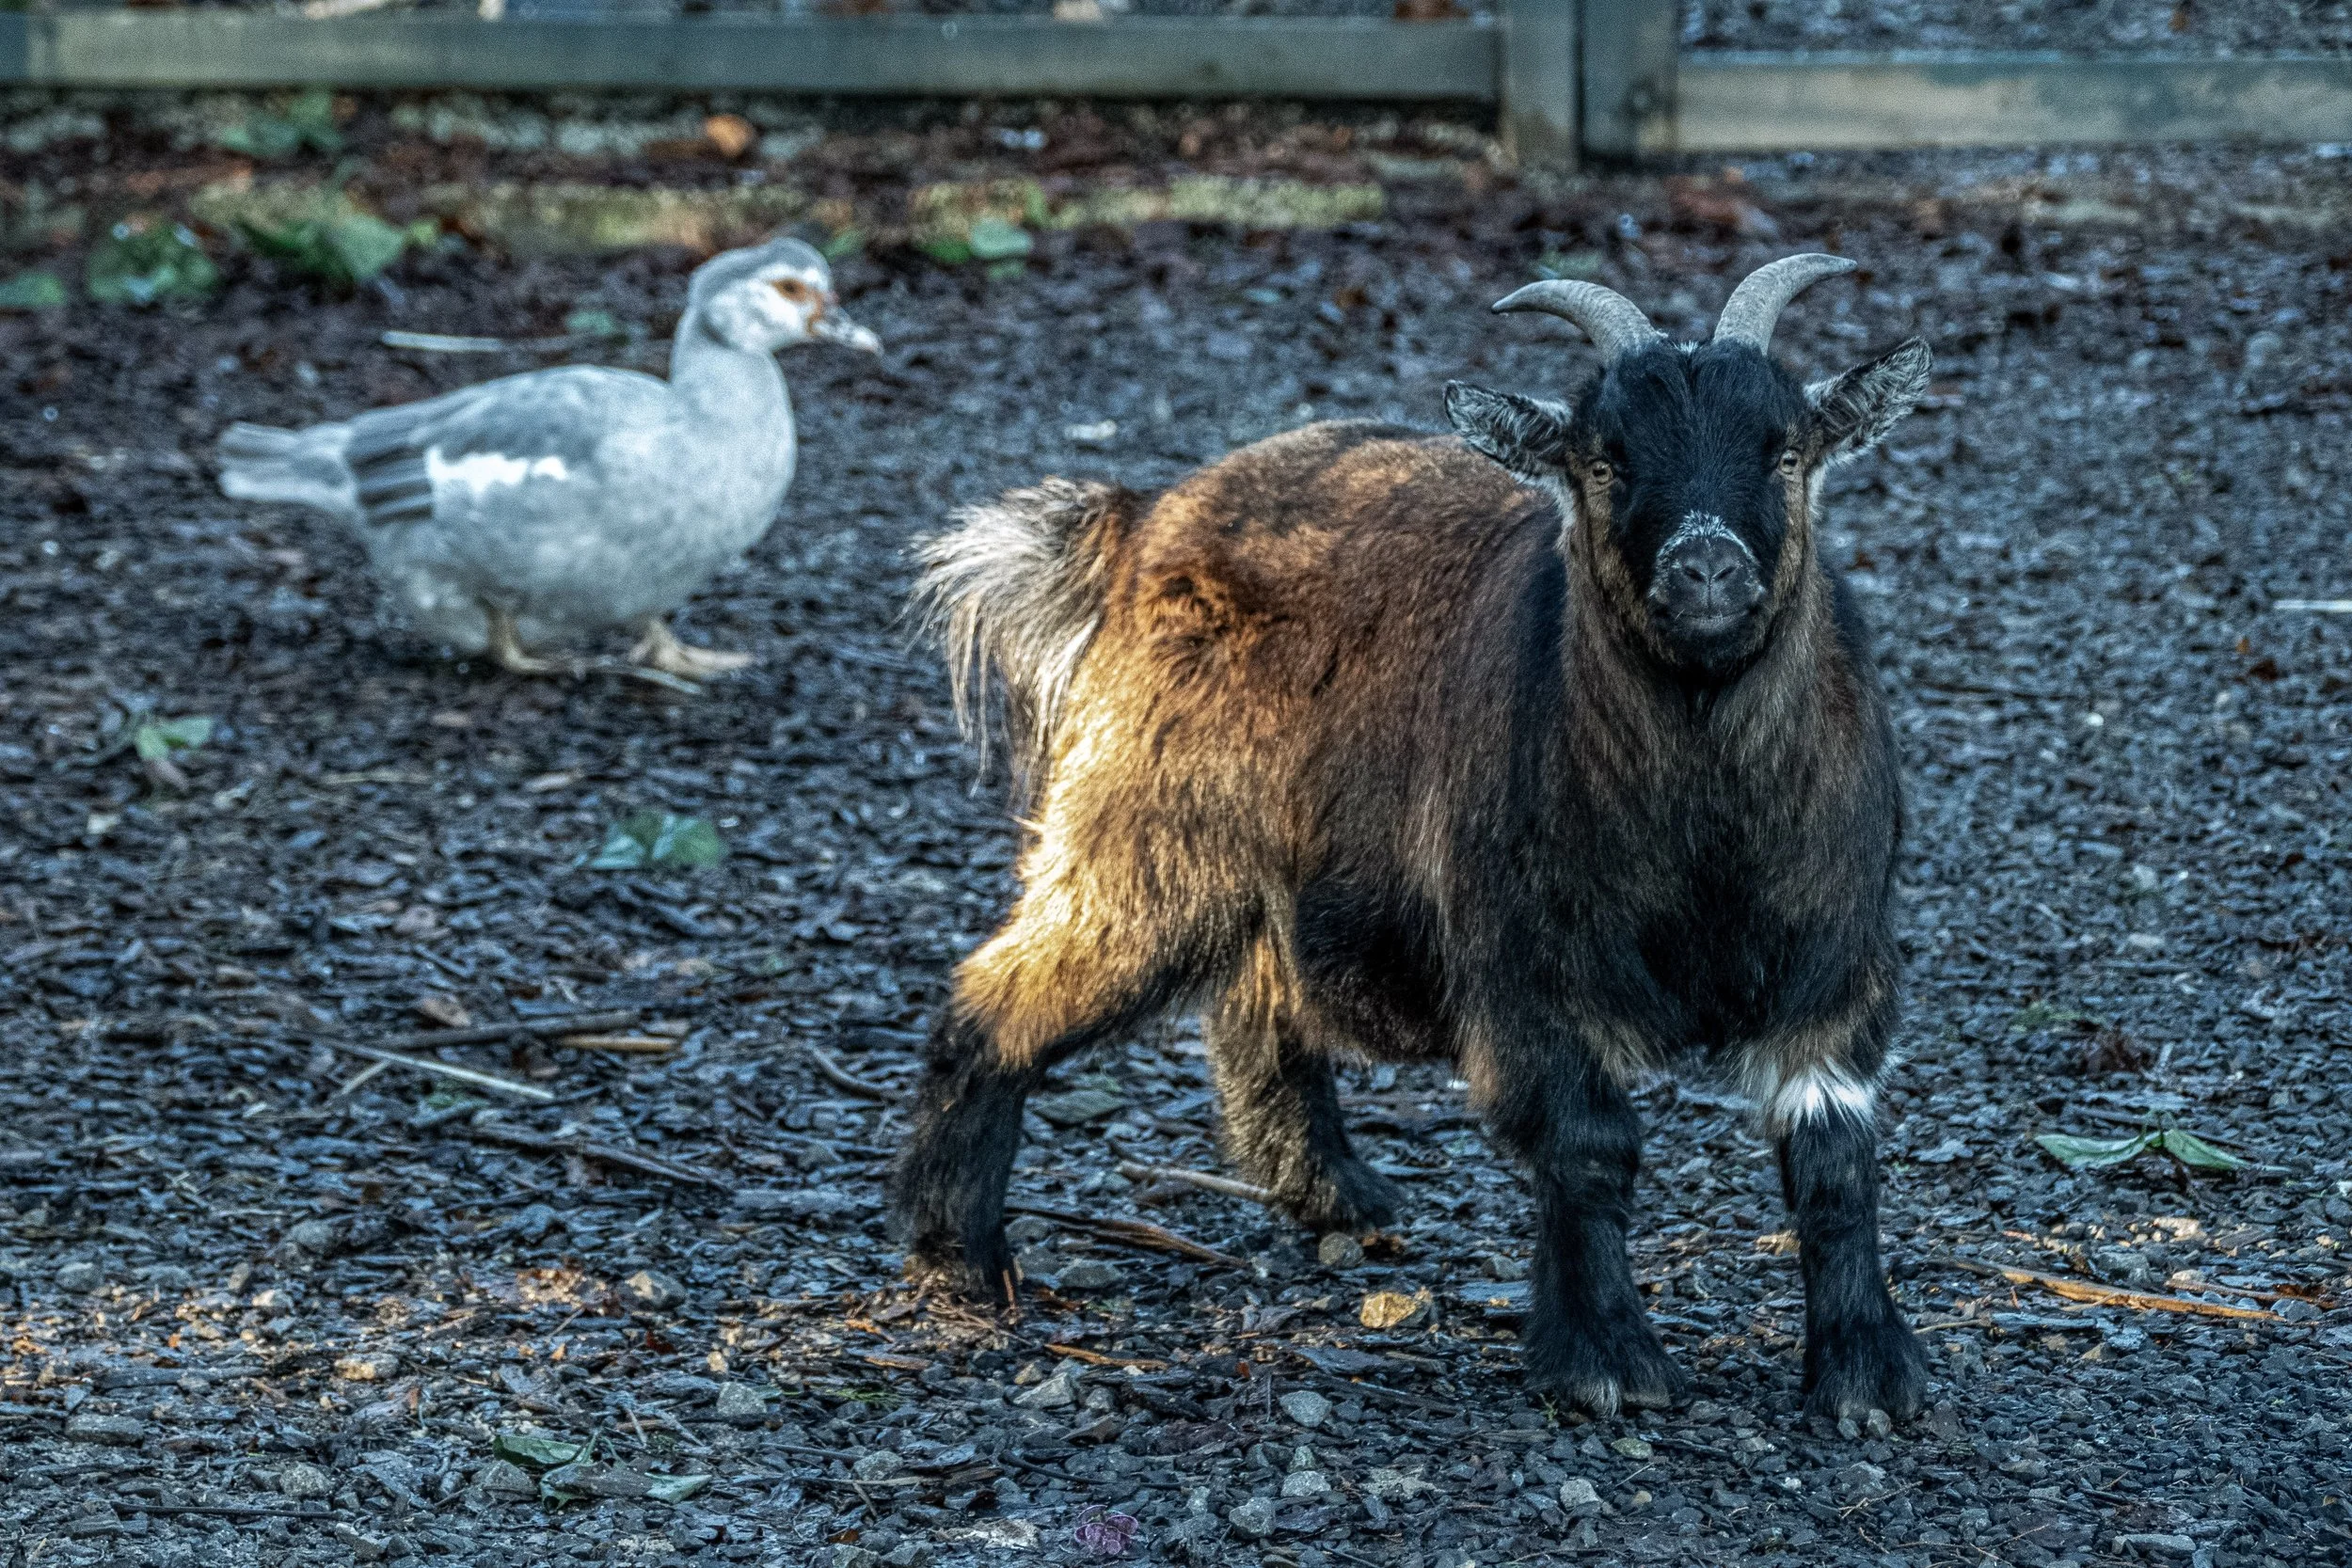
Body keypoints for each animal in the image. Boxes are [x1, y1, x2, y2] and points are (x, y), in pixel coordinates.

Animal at [894, 254, 1934, 1423]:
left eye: (1785, 448)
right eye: (1604, 458)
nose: (1704, 567)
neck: (1702, 842)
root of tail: (1141, 519)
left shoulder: (1831, 970)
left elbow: (1834, 1160)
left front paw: (1867, 1373)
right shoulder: (1531, 969)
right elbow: (1587, 1148)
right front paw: (1607, 1362)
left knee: (1258, 1001)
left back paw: (1337, 1197)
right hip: (1139, 830)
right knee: (1004, 991)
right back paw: (956, 1252)